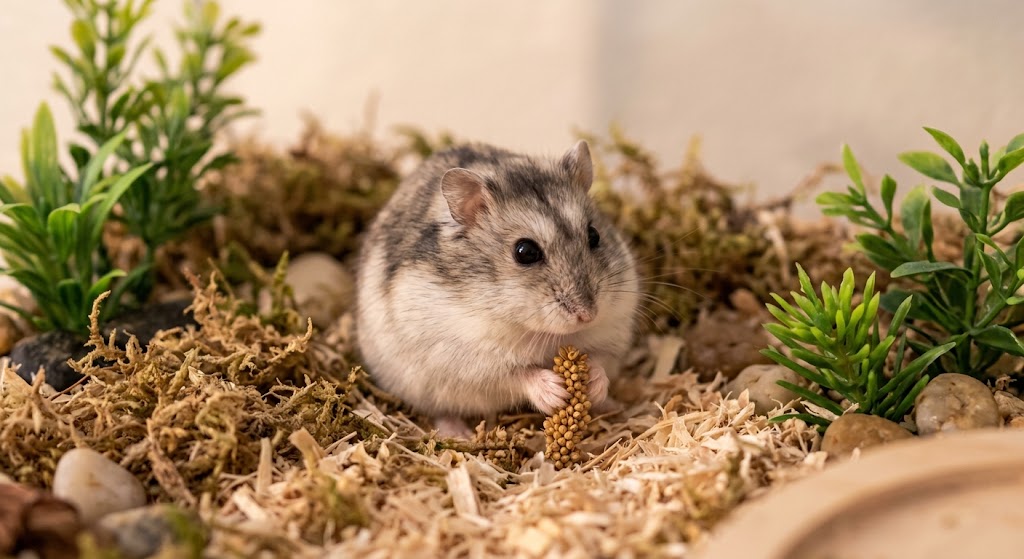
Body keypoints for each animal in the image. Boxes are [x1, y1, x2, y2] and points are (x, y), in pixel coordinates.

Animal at [355, 140, 640, 436]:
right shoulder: (472, 361)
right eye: (525, 252)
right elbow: (518, 375)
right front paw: (556, 393)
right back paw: (459, 434)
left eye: (594, 235)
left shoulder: (612, 335)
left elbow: (600, 360)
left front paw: (594, 385)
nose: (588, 315)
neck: (540, 333)